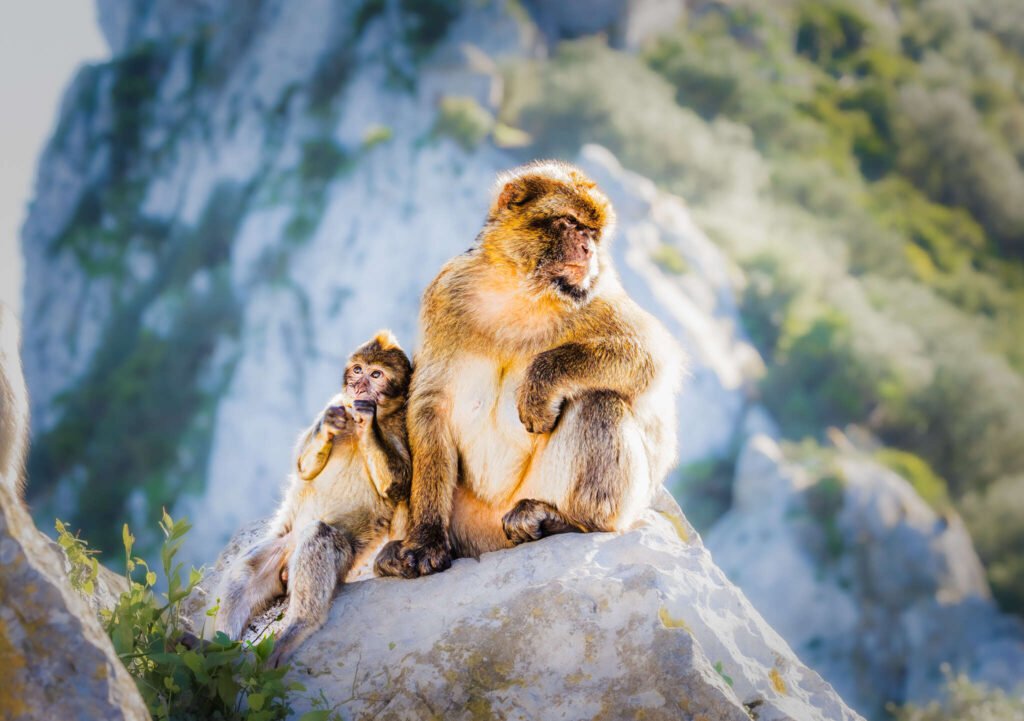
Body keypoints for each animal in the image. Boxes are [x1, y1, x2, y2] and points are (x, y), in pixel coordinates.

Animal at [215, 330, 412, 666]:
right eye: (357, 370)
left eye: (376, 375)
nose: (358, 386)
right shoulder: (335, 402)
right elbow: (303, 467)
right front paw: (330, 425)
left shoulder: (403, 425)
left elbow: (400, 484)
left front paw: (368, 419)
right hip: (281, 544)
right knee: (245, 572)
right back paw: (212, 649)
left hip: (343, 558)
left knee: (321, 537)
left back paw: (298, 626)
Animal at [375, 160, 684, 579]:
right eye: (570, 223)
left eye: (593, 233)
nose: (588, 250)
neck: (520, 292)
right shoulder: (443, 295)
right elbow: (428, 404)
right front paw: (425, 538)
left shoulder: (599, 293)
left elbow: (651, 355)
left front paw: (540, 383)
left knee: (600, 401)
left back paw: (568, 520)